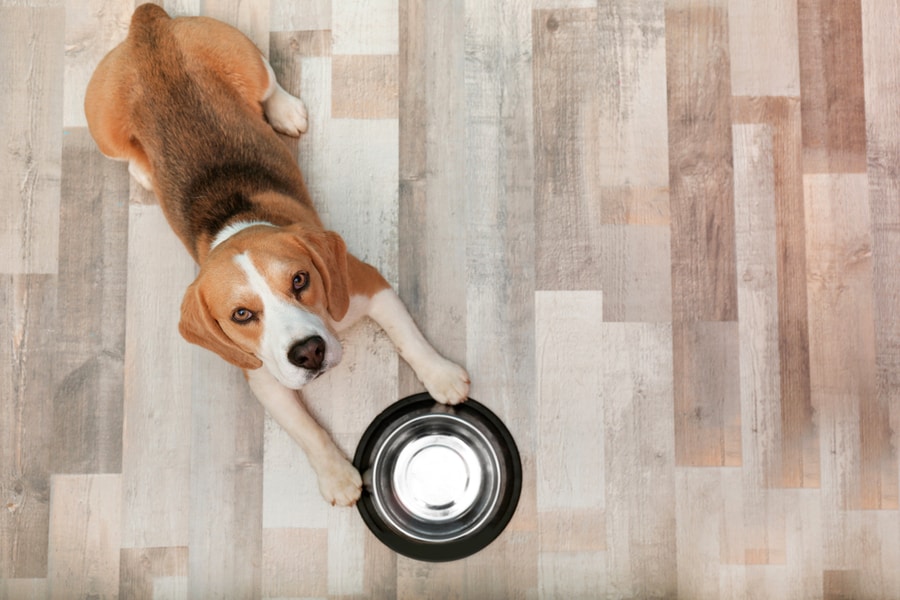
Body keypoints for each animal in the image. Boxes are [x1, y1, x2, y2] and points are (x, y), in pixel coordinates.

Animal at [84, 5, 472, 506]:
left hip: (243, 57)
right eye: (242, 314)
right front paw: (335, 475)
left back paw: (285, 111)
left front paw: (441, 375)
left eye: (300, 280)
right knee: (129, 155)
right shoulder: (264, 377)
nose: (308, 353)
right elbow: (306, 429)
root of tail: (148, 25)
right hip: (105, 132)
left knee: (267, 82)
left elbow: (410, 338)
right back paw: (145, 171)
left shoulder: (369, 285)